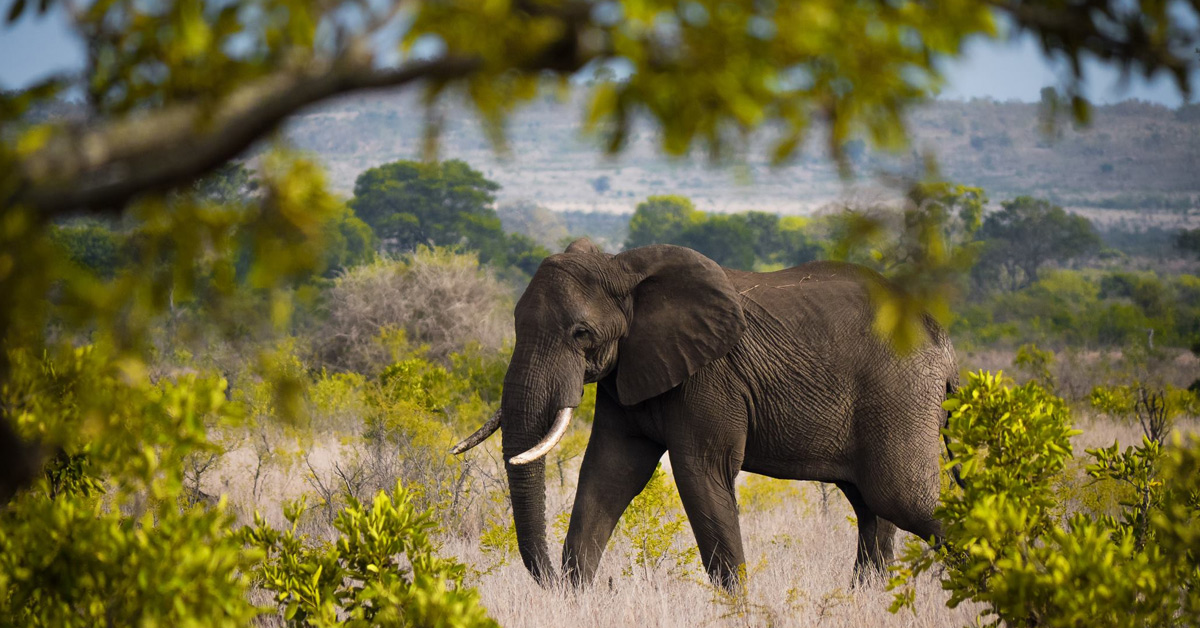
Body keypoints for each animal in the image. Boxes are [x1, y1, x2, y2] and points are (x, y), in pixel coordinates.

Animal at [448, 240, 955, 590]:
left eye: (581, 333)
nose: (555, 580)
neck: (622, 267)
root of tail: (943, 340)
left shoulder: (710, 377)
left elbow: (700, 473)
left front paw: (738, 608)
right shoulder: (628, 370)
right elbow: (608, 473)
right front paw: (574, 600)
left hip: (900, 395)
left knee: (902, 497)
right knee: (872, 508)